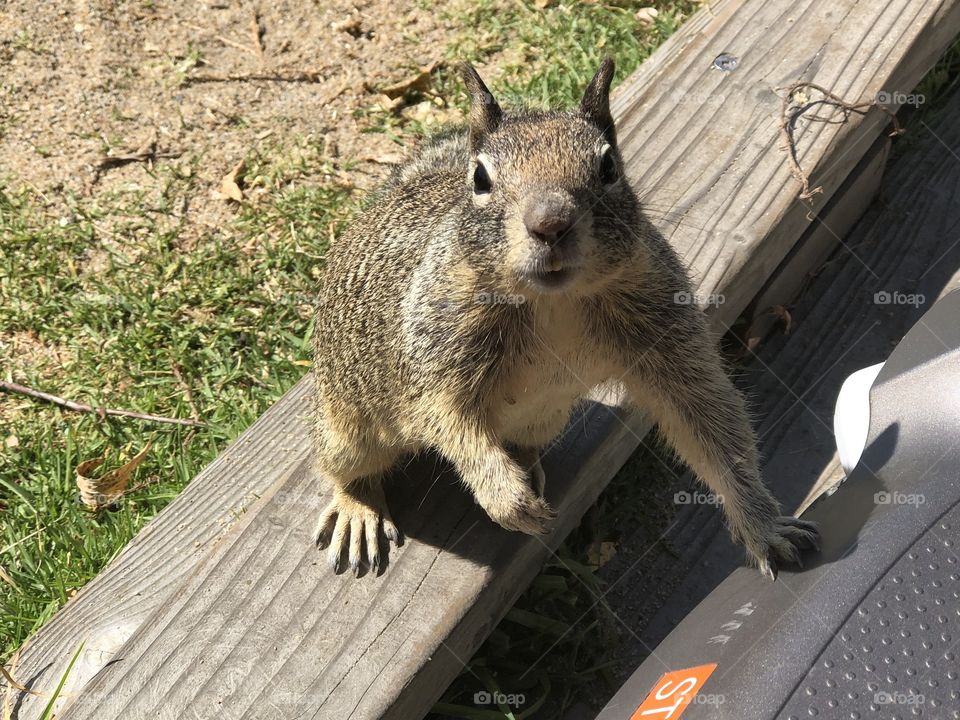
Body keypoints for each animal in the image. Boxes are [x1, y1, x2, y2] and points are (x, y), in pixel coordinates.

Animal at [314, 60, 816, 580]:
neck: (553, 302)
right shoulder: (434, 358)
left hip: (547, 419)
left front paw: (763, 526)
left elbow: (714, 430)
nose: (550, 223)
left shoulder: (669, 342)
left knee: (522, 438)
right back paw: (359, 510)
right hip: (349, 430)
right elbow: (451, 423)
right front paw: (508, 501)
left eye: (610, 167)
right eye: (480, 178)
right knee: (346, 469)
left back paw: (523, 462)